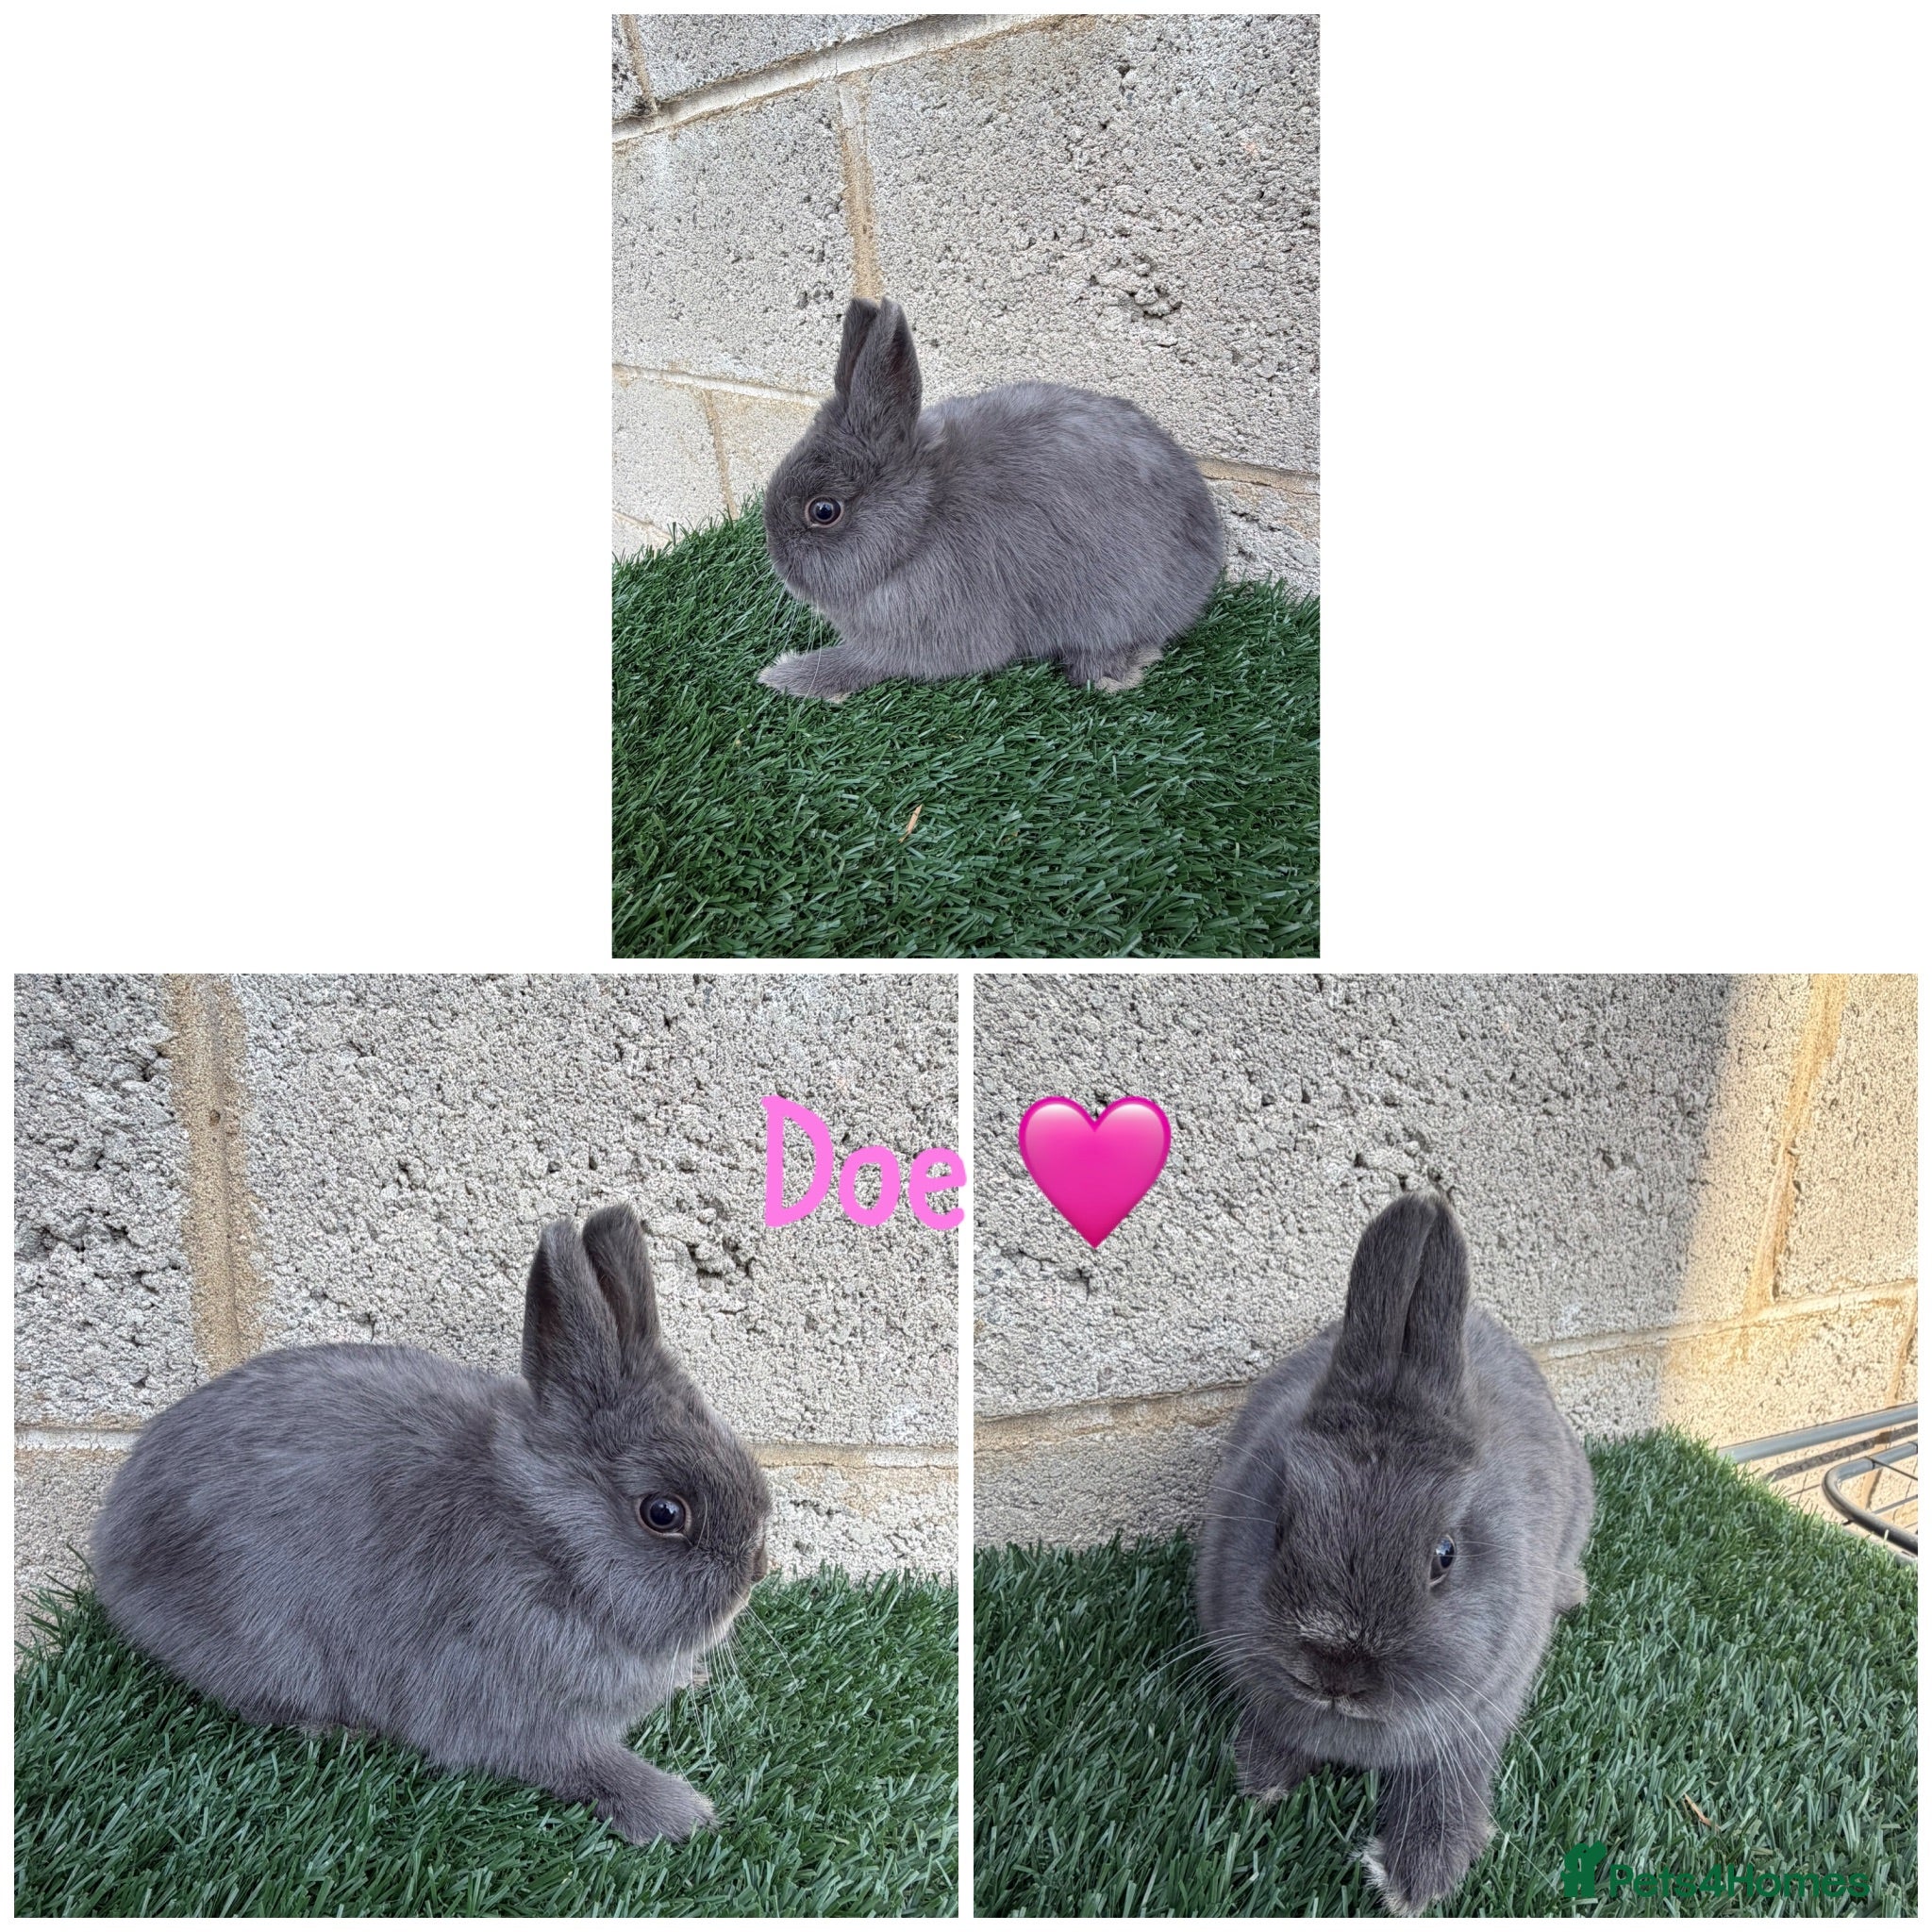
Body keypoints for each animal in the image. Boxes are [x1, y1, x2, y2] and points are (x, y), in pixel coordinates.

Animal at [90, 1203, 772, 1846]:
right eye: (663, 1513)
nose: (757, 1571)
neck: (546, 1540)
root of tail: (113, 1541)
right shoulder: (510, 1706)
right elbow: (585, 1765)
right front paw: (681, 1812)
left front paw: (693, 1683)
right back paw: (341, 1731)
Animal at [1195, 1191, 1593, 1916]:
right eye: (1280, 1526)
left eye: (1445, 1554)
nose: (1335, 1672)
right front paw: (1261, 1781)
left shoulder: (1478, 1716)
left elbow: (1446, 1780)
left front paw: (1418, 1876)